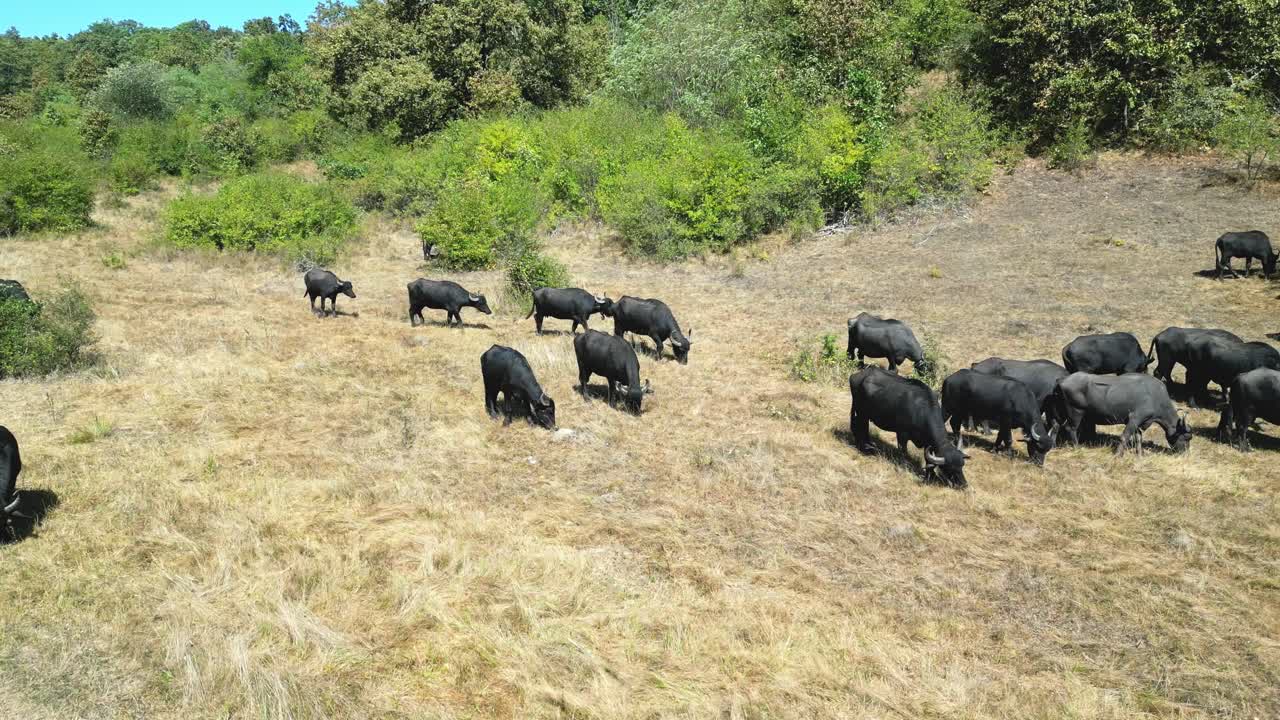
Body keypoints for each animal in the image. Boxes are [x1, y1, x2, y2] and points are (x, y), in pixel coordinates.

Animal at [1054, 373, 1191, 454]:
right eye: (1187, 437)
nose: (1185, 452)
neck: (1155, 396)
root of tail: (1063, 380)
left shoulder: (1138, 424)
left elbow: (1138, 438)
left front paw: (1139, 454)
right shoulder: (1134, 419)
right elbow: (1125, 437)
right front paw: (1118, 455)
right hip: (1076, 412)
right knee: (1070, 428)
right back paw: (1077, 447)